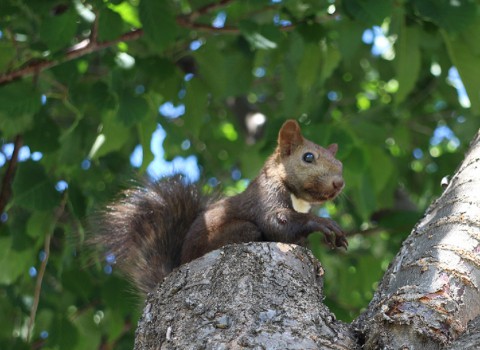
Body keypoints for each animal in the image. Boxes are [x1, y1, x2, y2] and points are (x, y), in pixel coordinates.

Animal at [94, 119, 346, 294]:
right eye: (308, 157)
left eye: (341, 164)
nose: (339, 183)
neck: (299, 200)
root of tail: (181, 262)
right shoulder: (265, 197)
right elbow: (277, 222)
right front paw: (324, 224)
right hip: (237, 232)